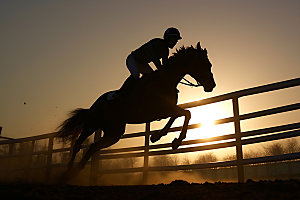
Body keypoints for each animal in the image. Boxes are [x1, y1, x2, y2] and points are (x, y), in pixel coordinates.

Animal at [56, 41, 216, 177]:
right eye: (205, 64)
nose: (212, 85)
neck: (165, 81)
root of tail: (93, 105)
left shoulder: (166, 110)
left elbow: (179, 115)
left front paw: (158, 136)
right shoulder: (161, 109)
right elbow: (186, 113)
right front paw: (175, 141)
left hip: (107, 129)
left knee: (88, 146)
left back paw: (72, 172)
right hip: (101, 127)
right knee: (83, 145)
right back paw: (69, 173)